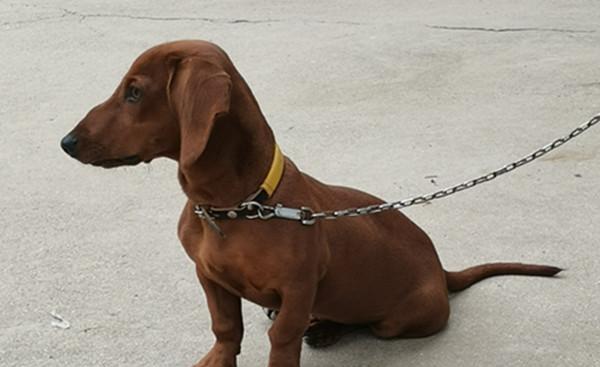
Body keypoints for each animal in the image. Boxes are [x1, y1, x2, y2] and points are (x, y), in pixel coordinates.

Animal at [59, 40, 556, 367]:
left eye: (134, 92)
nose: (66, 142)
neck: (237, 208)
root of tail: (443, 271)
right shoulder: (208, 276)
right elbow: (226, 329)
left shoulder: (297, 289)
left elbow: (282, 338)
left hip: (397, 321)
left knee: (363, 321)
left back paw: (327, 328)